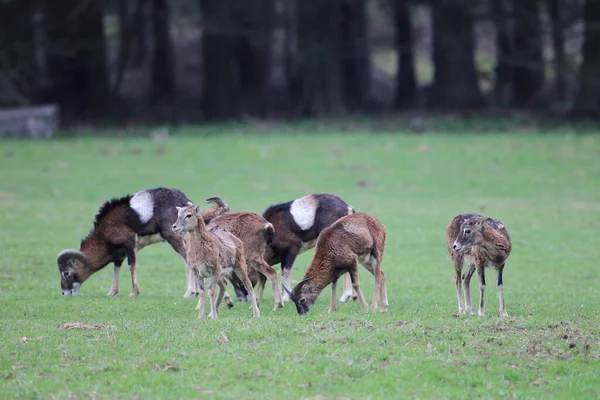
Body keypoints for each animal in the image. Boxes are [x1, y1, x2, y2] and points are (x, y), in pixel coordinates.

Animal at [56, 188, 230, 304]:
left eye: (66, 273)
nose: (64, 293)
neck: (106, 230)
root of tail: (184, 202)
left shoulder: (129, 246)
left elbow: (131, 267)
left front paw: (134, 293)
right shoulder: (119, 254)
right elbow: (116, 268)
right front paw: (112, 293)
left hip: (173, 237)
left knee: (187, 259)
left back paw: (190, 293)